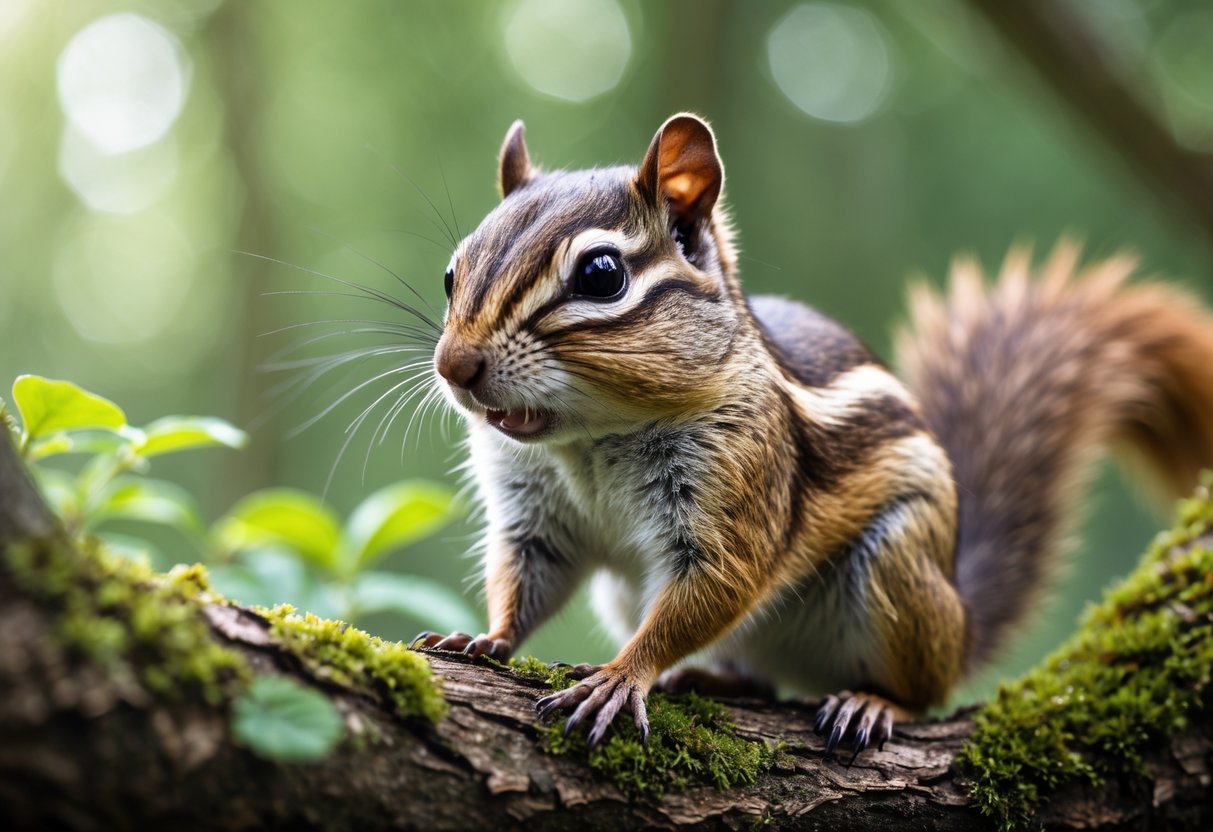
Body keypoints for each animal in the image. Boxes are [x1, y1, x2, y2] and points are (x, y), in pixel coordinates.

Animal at [411, 113, 1213, 756]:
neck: (588, 438)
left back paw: (870, 702)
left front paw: (621, 675)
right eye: (453, 272)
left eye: (602, 274)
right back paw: (714, 679)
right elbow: (524, 578)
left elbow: (713, 587)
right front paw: (483, 638)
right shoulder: (532, 515)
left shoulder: (740, 485)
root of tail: (961, 620)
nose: (455, 365)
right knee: (763, 681)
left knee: (923, 694)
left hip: (898, 568)